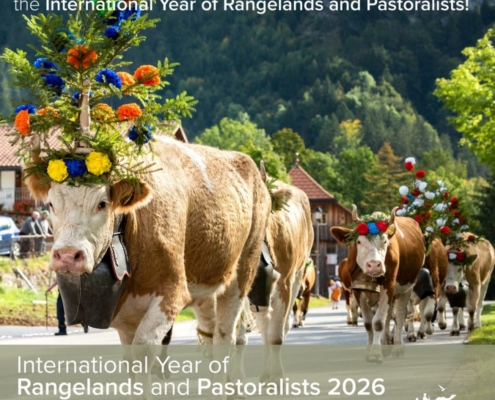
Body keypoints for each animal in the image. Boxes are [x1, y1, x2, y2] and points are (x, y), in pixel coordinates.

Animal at [26, 137, 272, 396]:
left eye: (102, 204)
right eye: (51, 204)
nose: (67, 255)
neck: (130, 227)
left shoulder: (171, 294)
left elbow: (143, 354)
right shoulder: (124, 315)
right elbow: (131, 363)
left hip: (242, 273)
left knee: (226, 336)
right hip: (206, 288)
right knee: (210, 335)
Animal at [332, 206, 424, 362]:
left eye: (385, 242)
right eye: (359, 242)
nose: (374, 265)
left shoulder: (389, 285)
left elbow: (378, 322)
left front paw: (375, 353)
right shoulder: (357, 290)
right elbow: (369, 324)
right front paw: (370, 351)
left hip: (407, 288)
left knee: (400, 316)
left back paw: (398, 348)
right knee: (389, 315)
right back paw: (385, 343)